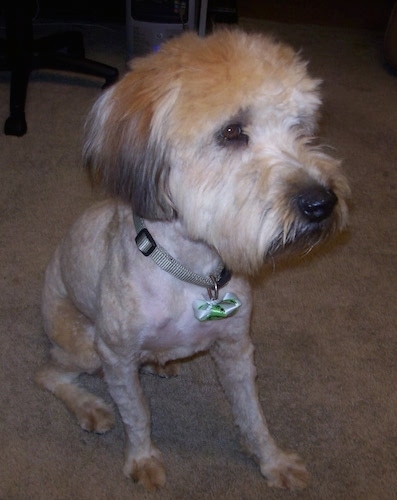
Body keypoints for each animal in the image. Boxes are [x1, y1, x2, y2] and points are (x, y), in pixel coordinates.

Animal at [35, 28, 348, 492]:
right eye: (232, 131)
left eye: (300, 128)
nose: (322, 203)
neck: (191, 271)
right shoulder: (116, 356)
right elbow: (137, 414)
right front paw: (142, 459)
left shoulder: (236, 348)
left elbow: (253, 415)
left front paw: (272, 461)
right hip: (84, 346)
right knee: (49, 375)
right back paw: (91, 406)